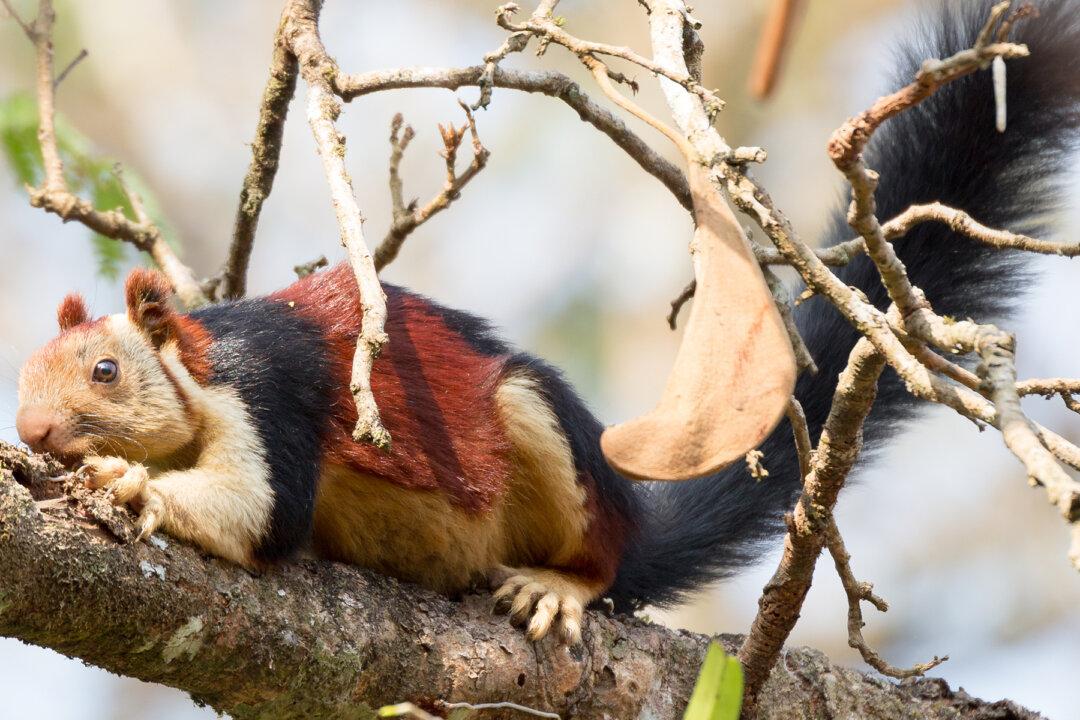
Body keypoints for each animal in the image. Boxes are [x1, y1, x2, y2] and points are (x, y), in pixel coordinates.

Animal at [14, 1, 1080, 646]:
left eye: (106, 371)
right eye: (22, 373)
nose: (30, 430)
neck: (200, 364)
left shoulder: (268, 399)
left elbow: (249, 512)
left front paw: (125, 480)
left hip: (543, 435)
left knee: (600, 560)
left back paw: (561, 584)